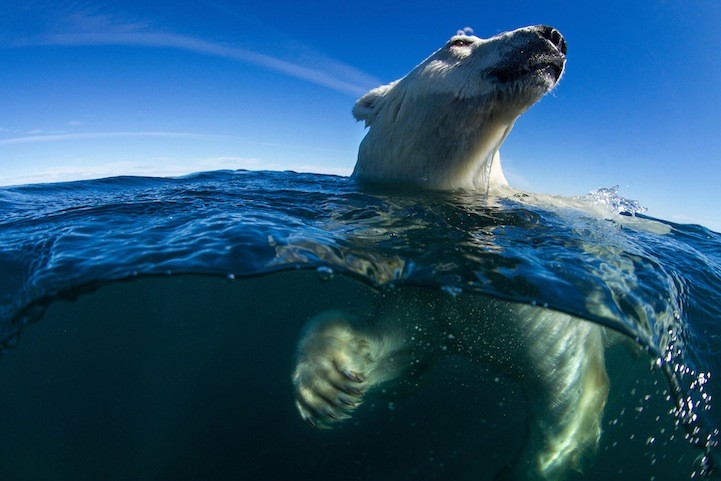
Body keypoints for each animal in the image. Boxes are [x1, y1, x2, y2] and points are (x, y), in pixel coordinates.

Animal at [290, 26, 612, 480]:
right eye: (459, 42)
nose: (551, 36)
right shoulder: (426, 302)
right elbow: (398, 349)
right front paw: (327, 384)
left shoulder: (556, 325)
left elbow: (570, 401)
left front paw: (525, 466)